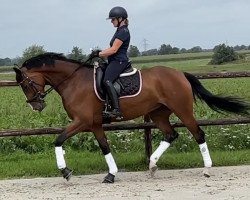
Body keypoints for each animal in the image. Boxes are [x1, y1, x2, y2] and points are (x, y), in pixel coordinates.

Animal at [13, 52, 250, 183]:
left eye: (25, 84)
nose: (36, 105)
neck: (73, 81)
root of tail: (180, 73)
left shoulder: (82, 121)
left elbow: (58, 139)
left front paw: (65, 172)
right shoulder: (94, 124)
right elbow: (105, 147)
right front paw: (111, 175)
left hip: (183, 110)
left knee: (198, 134)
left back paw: (207, 170)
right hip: (158, 113)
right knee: (170, 135)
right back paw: (152, 165)